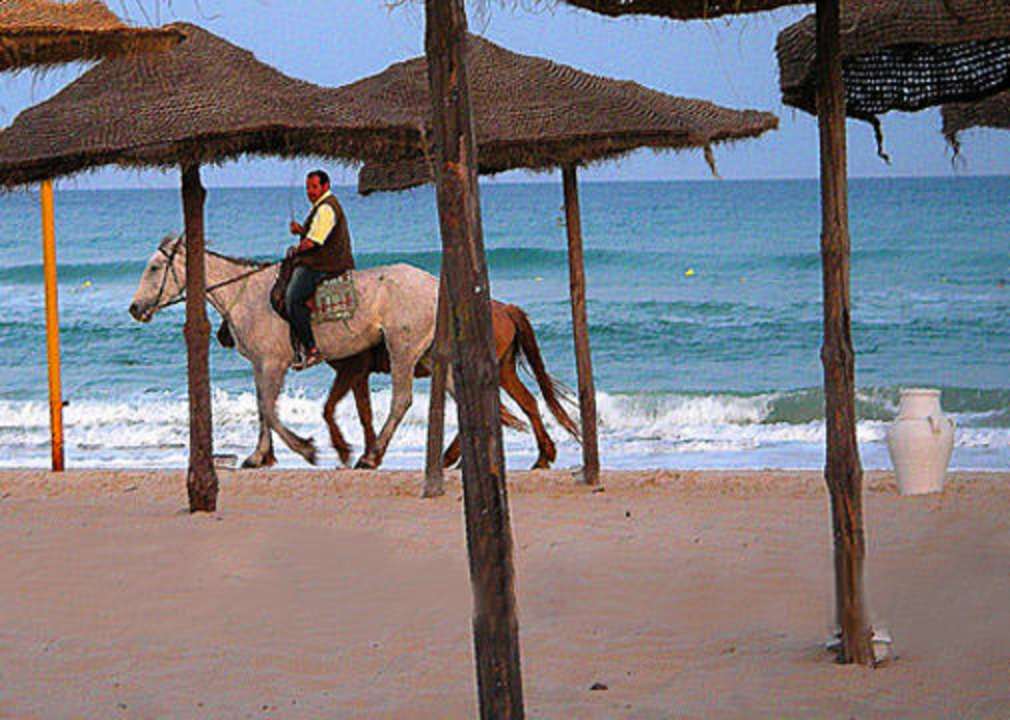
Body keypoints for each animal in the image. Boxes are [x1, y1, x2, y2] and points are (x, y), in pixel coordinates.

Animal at [129, 235, 440, 469]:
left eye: (155, 267)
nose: (134, 308)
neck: (247, 295)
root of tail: (434, 283)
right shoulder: (259, 365)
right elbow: (262, 408)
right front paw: (259, 456)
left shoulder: (273, 364)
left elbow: (269, 409)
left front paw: (305, 448)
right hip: (425, 353)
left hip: (402, 351)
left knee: (401, 400)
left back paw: (371, 457)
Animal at [318, 301, 581, 470]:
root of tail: (505, 309)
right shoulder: (357, 374)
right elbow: (361, 411)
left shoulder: (352, 370)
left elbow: (334, 408)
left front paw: (357, 453)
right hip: (503, 371)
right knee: (526, 403)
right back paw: (543, 456)